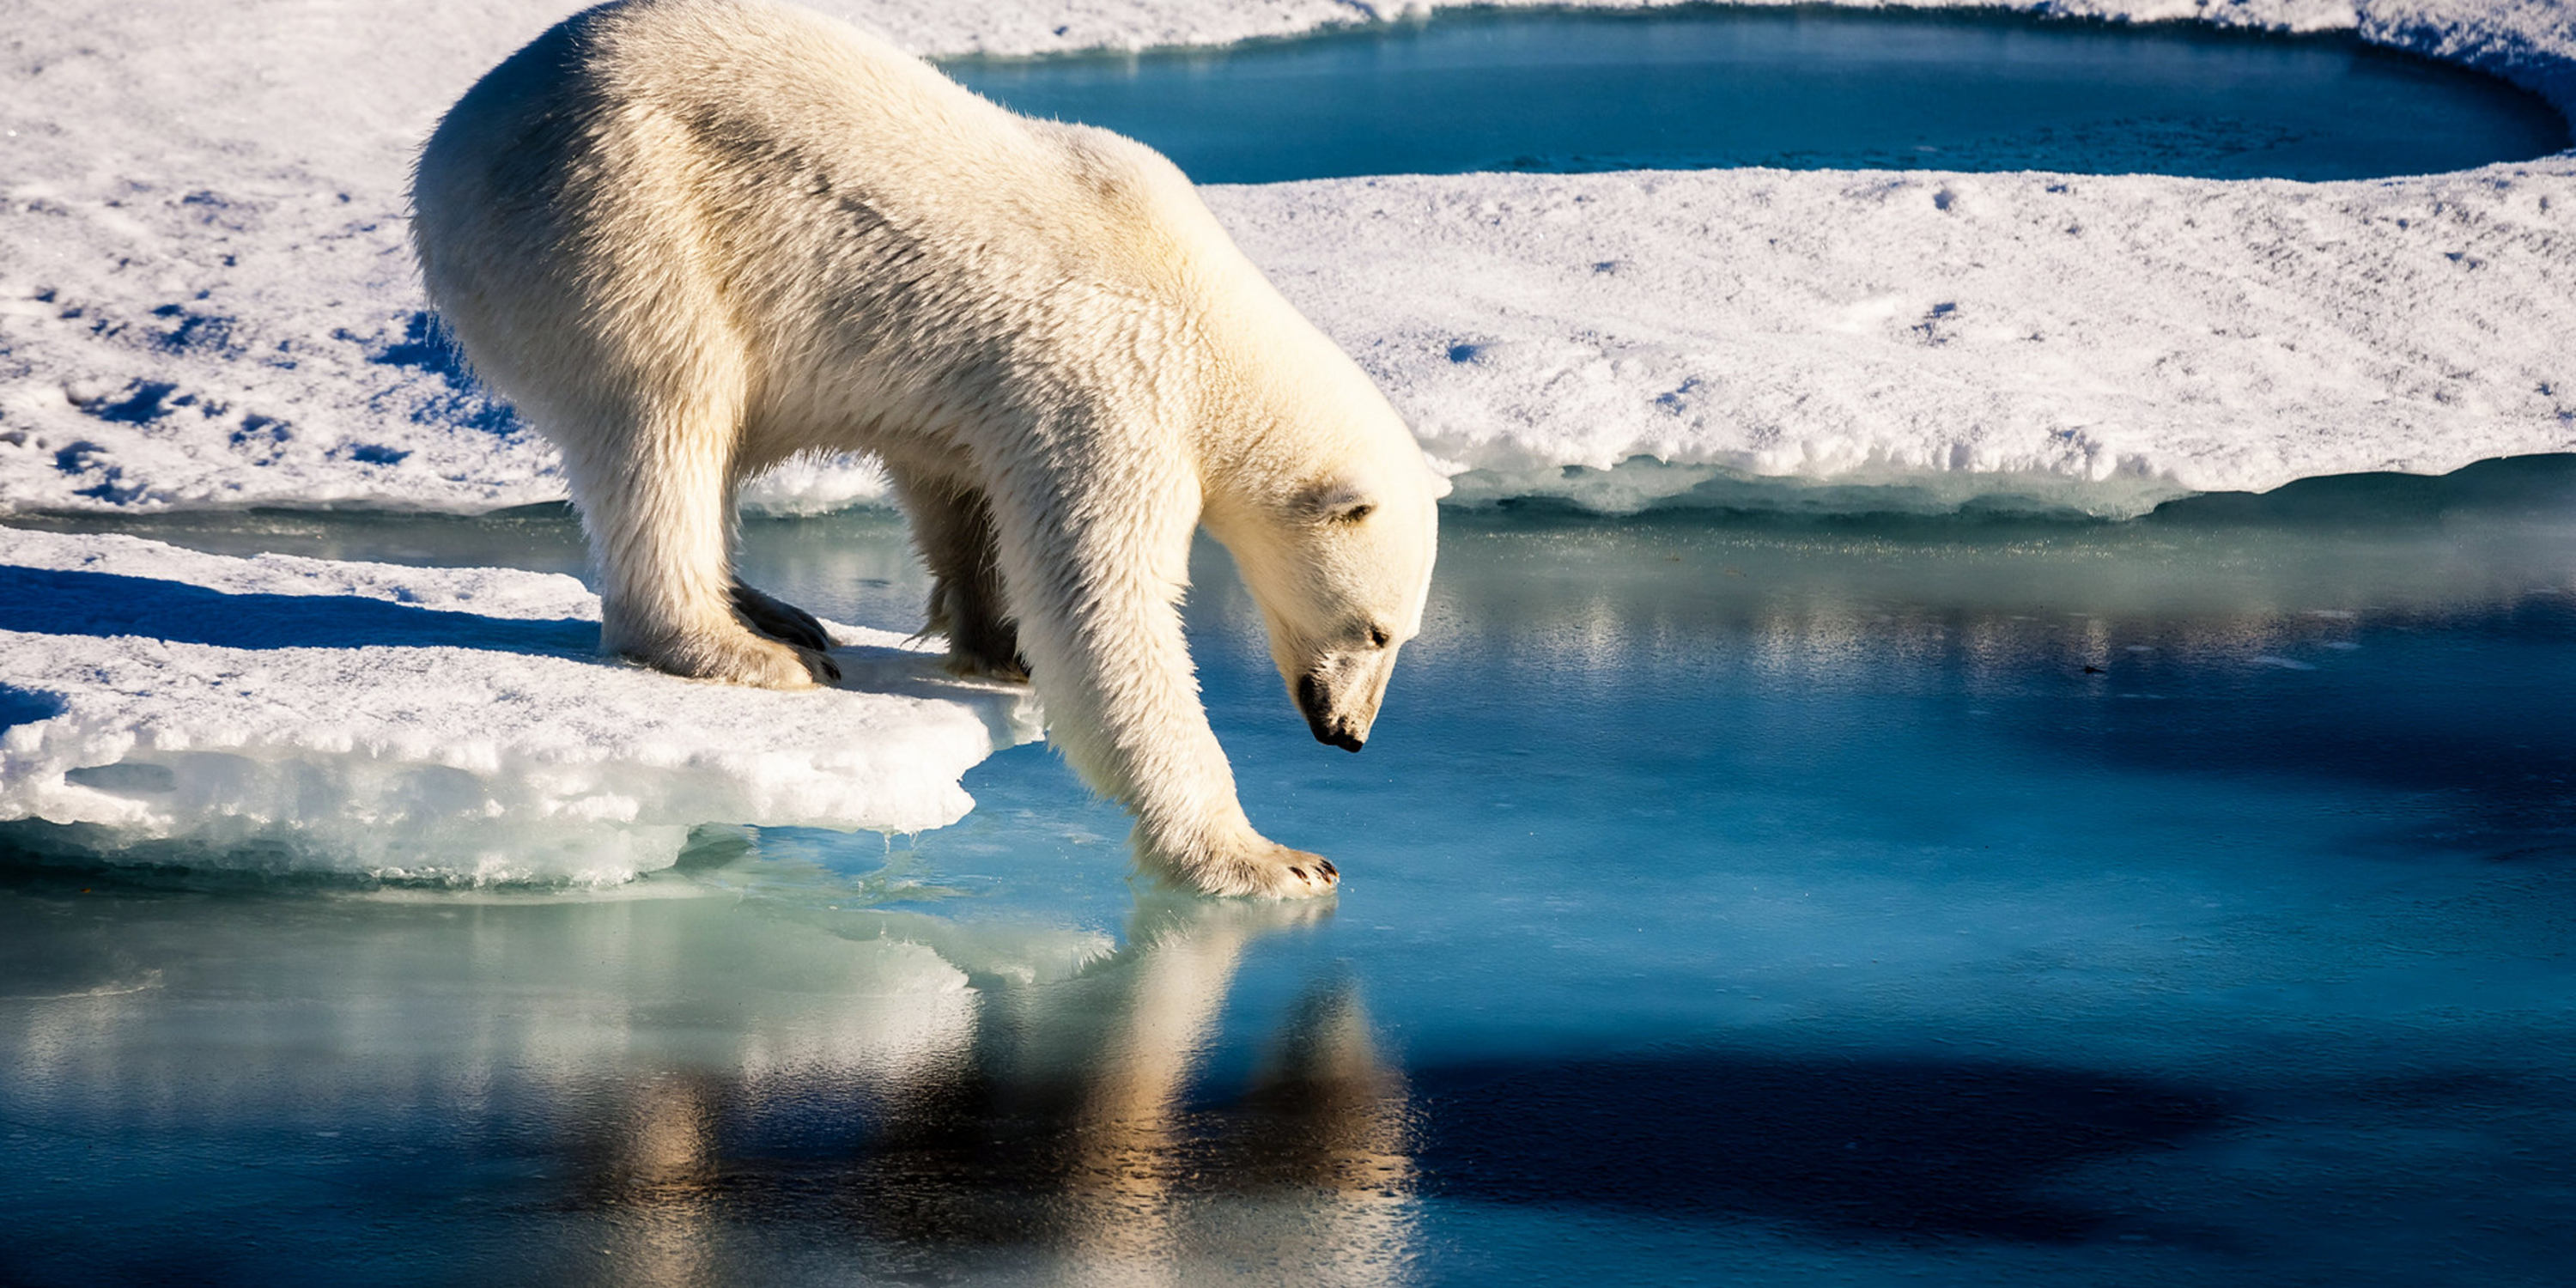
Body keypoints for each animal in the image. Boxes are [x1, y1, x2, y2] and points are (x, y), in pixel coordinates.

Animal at [412, 0, 1443, 896]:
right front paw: (1271, 859)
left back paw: (773, 610)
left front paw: (997, 646)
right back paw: (745, 647)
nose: (1349, 734)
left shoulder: (994, 397)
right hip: (619, 216)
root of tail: (451, 143)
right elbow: (1103, 608)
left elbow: (963, 497)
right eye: (1376, 630)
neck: (1209, 318)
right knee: (668, 411)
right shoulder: (1114, 386)